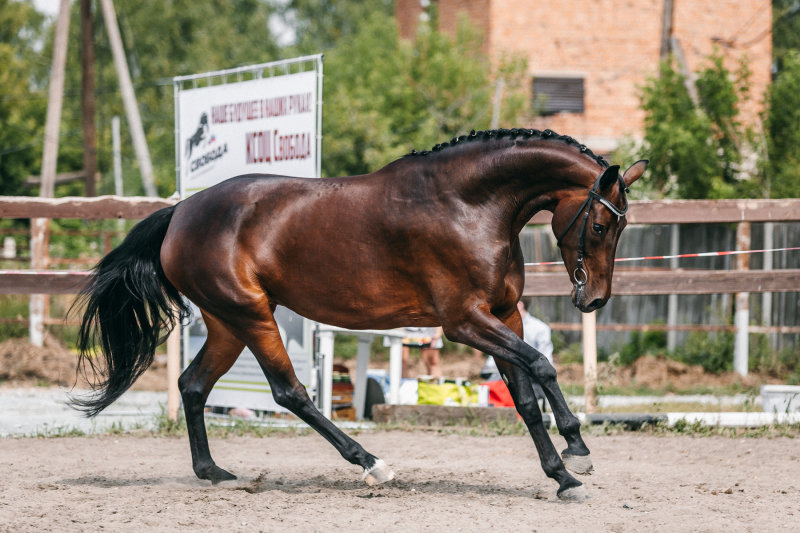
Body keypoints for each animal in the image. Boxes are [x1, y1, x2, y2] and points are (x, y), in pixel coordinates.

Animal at [73, 128, 648, 498]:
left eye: (622, 228)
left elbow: (526, 395)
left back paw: (212, 471)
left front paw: (562, 475)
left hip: (226, 323)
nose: (594, 300)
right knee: (290, 393)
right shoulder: (465, 322)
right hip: (252, 316)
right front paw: (577, 445)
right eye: (600, 225)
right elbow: (543, 366)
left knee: (193, 385)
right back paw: (372, 465)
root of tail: (180, 212)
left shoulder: (505, 317)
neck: (470, 205)